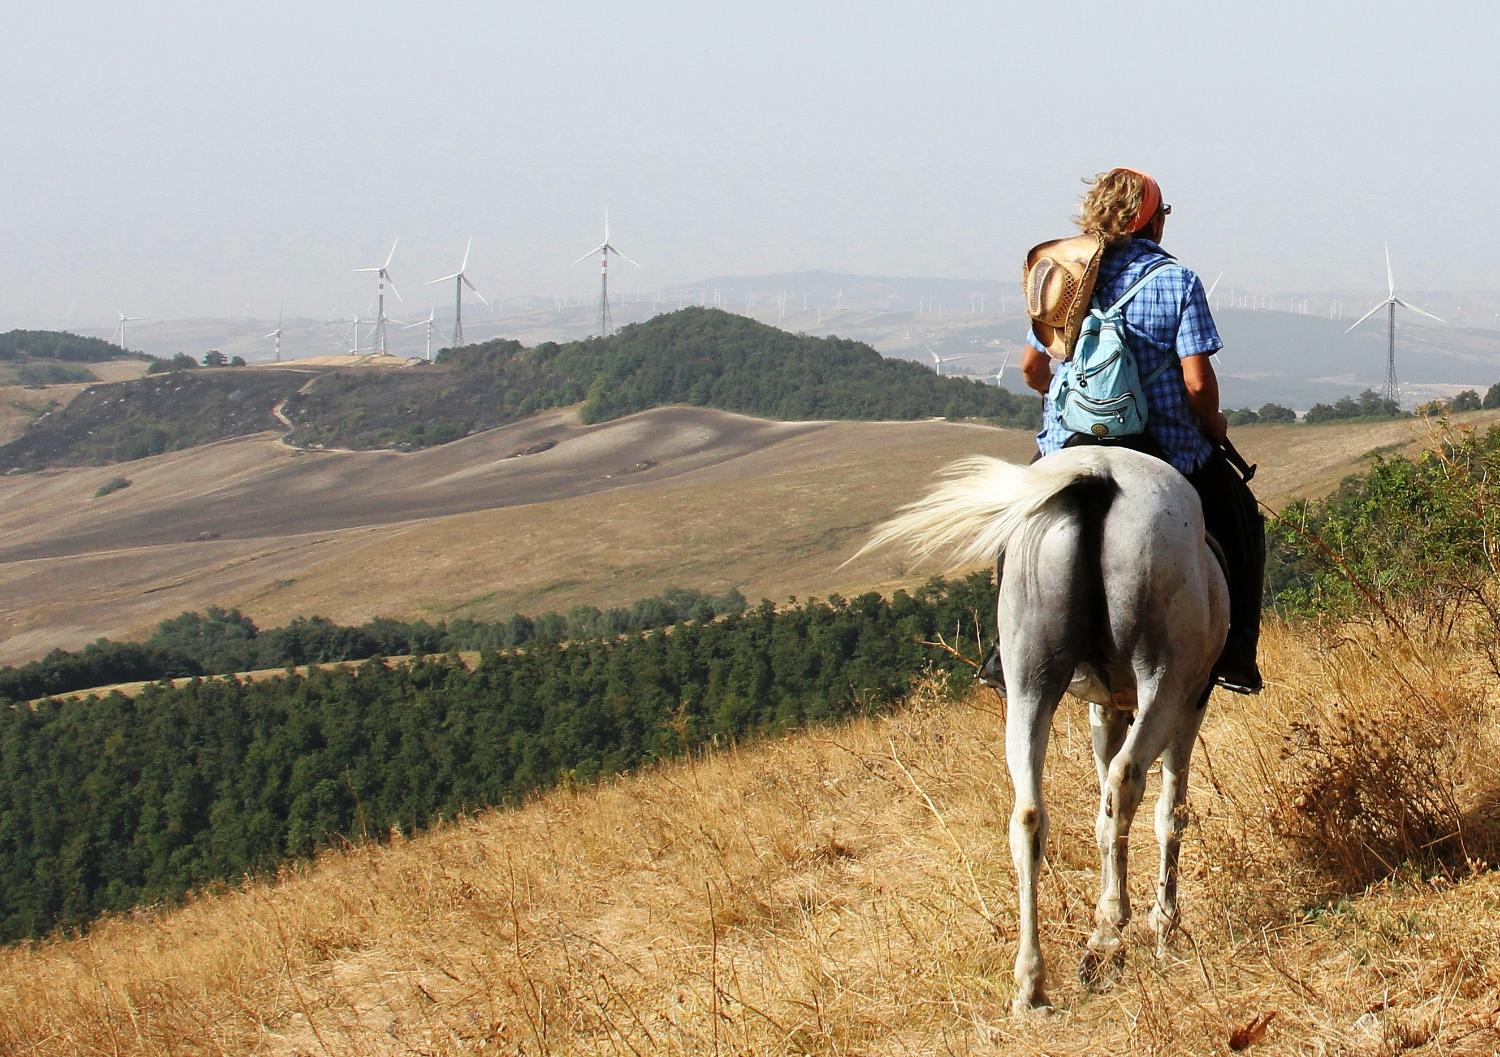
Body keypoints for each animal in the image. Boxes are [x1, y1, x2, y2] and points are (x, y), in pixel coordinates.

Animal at [864, 443, 1224, 1013]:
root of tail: (1100, 476)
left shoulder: (1107, 708)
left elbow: (1103, 815)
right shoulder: (1191, 701)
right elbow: (1172, 813)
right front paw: (1164, 925)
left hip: (1030, 679)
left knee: (1030, 814)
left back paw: (1032, 983)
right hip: (1165, 678)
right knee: (1127, 781)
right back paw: (1105, 939)